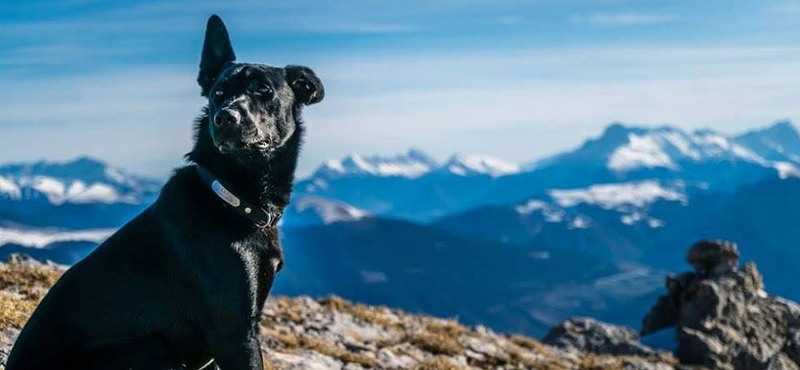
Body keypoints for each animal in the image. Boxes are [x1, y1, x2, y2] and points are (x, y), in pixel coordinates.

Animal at [5, 14, 324, 370]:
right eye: (218, 92)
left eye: (262, 90)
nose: (224, 118)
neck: (229, 196)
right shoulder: (235, 332)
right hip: (151, 348)